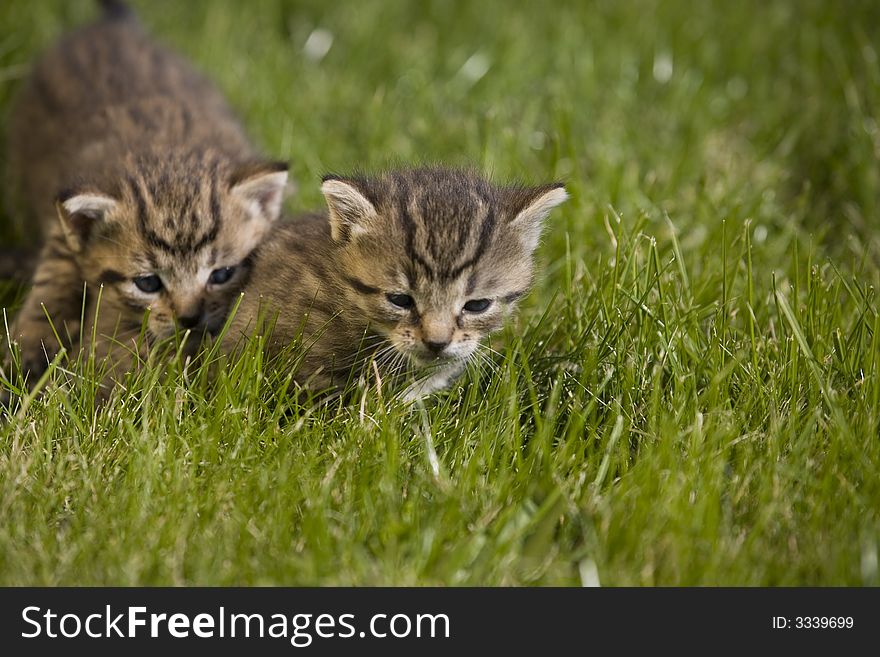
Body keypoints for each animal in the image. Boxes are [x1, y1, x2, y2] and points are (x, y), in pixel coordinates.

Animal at [6, 1, 288, 390]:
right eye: (148, 283)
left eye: (221, 274)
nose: (190, 318)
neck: (165, 157)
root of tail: (112, 26)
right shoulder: (62, 225)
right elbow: (53, 279)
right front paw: (29, 350)